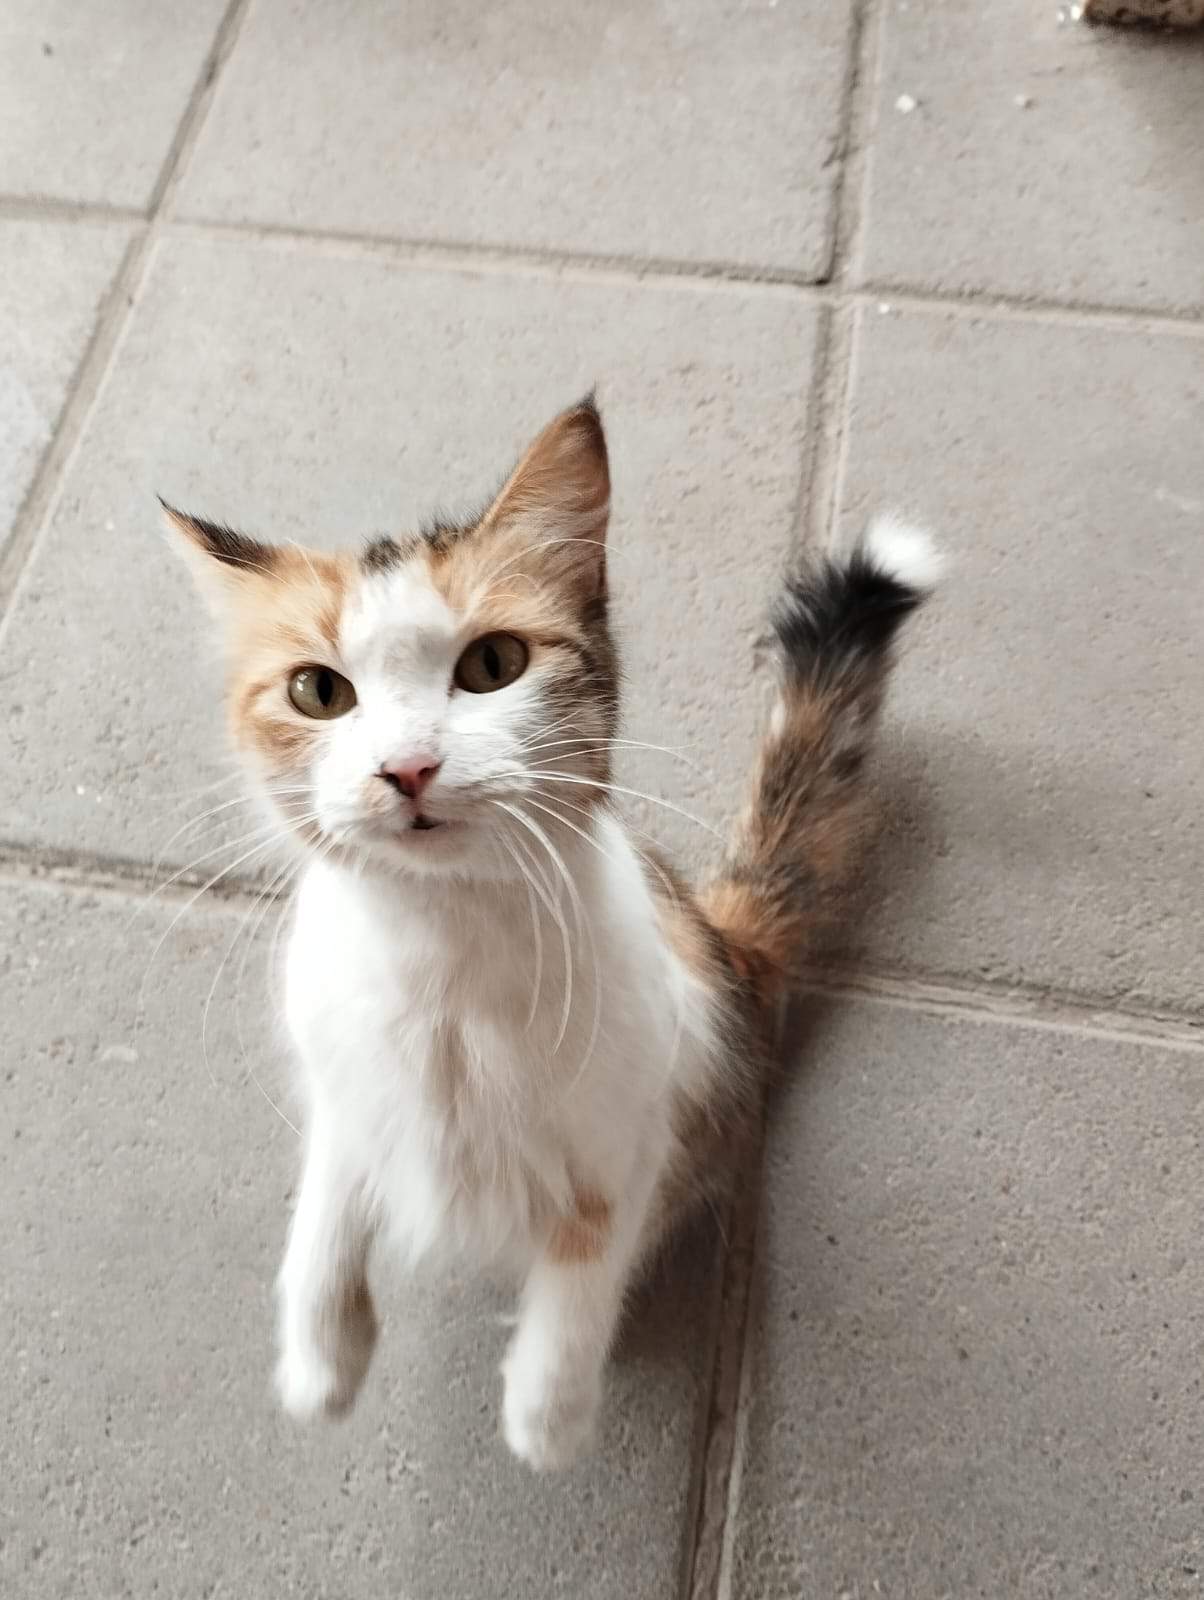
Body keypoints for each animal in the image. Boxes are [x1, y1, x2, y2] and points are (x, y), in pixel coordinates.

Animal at [167, 393, 941, 1465]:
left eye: (493, 665)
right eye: (318, 691)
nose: (406, 768)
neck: (442, 959)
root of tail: (726, 939)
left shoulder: (638, 1108)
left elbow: (587, 1251)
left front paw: (548, 1411)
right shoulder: (337, 1071)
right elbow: (327, 1199)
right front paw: (322, 1362)